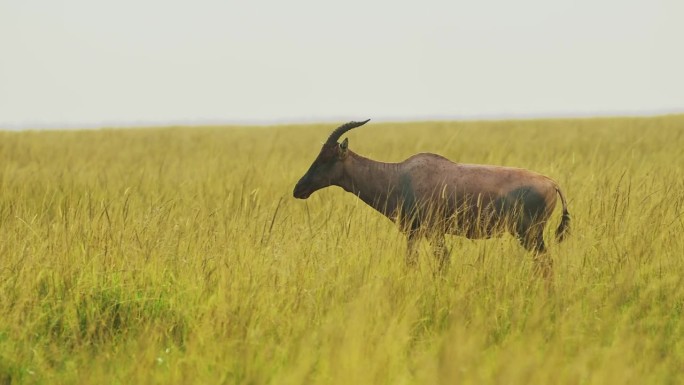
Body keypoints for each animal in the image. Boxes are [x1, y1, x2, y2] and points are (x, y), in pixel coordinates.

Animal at [292, 118, 568, 274]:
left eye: (327, 158)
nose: (299, 189)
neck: (399, 176)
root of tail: (552, 183)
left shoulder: (431, 233)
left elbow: (437, 263)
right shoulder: (417, 234)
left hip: (529, 235)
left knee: (546, 263)